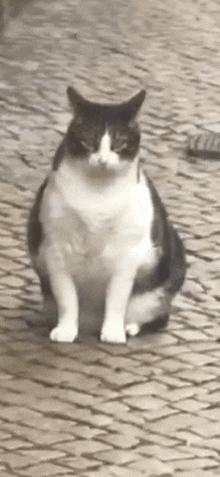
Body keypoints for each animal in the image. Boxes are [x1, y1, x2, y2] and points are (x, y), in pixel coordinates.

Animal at [27, 85, 186, 344]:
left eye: (120, 143)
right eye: (88, 141)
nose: (103, 160)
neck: (97, 193)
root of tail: (91, 322)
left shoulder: (125, 256)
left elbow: (116, 300)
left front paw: (113, 333)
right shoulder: (56, 252)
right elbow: (67, 299)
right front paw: (66, 331)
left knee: (157, 316)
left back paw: (129, 327)